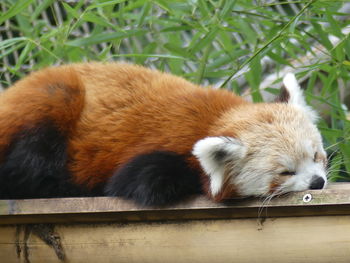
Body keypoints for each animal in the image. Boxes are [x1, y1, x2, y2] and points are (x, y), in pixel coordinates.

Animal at [0, 62, 328, 206]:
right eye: (285, 172)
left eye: (316, 155)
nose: (318, 182)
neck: (215, 118)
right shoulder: (155, 153)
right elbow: (142, 182)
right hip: (51, 106)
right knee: (27, 167)